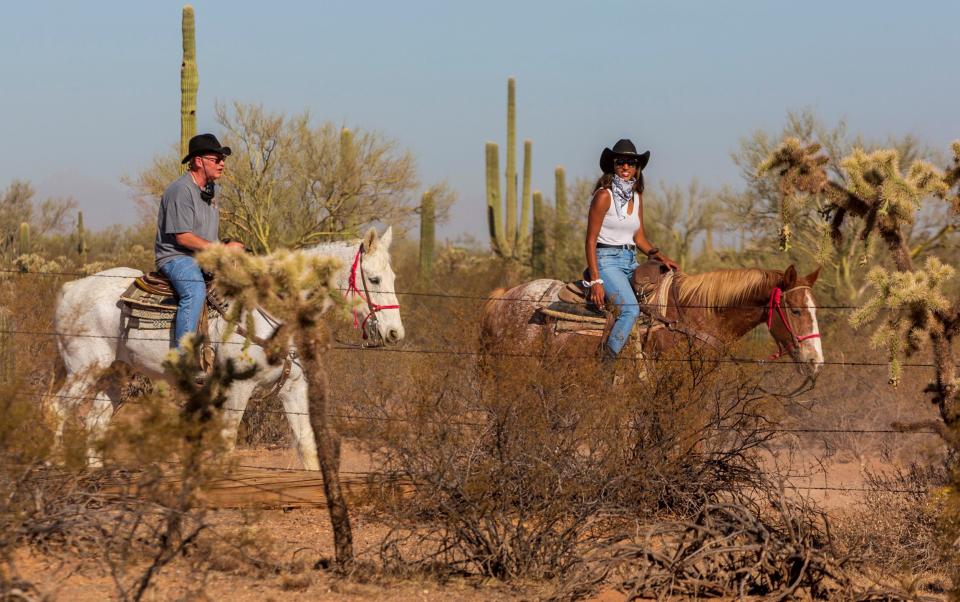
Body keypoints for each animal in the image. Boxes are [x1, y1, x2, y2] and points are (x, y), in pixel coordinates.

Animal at [50, 226, 404, 468]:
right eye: (373, 279)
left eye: (393, 277)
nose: (394, 333)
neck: (271, 311)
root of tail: (72, 287)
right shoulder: (238, 389)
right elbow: (227, 443)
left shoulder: (294, 387)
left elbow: (306, 446)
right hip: (83, 368)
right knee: (56, 410)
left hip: (115, 372)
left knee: (96, 420)